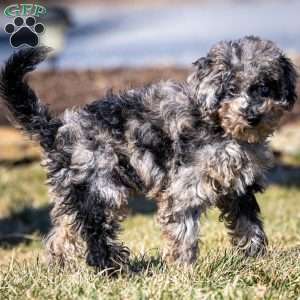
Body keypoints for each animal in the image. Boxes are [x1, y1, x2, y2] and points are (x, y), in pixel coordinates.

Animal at [0, 35, 296, 272]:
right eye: (231, 88)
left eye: (264, 87)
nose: (253, 116)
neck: (221, 127)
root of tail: (57, 128)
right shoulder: (184, 189)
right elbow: (184, 231)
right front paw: (184, 271)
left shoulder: (238, 188)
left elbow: (249, 224)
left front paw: (257, 258)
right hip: (101, 187)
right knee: (95, 233)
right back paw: (112, 270)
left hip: (73, 190)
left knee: (62, 233)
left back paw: (60, 268)